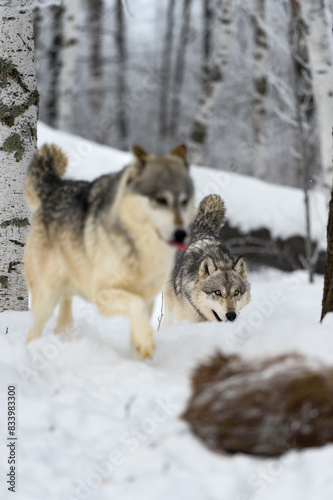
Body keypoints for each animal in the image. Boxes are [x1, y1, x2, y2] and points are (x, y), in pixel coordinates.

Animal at [24, 143, 195, 358]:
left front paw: (137, 360)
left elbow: (137, 327)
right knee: (33, 332)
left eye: (184, 201)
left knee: (63, 323)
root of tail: (56, 187)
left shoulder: (147, 299)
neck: (141, 249)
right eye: (161, 200)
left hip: (67, 290)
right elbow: (135, 306)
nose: (181, 234)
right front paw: (146, 343)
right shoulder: (103, 295)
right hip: (47, 297)